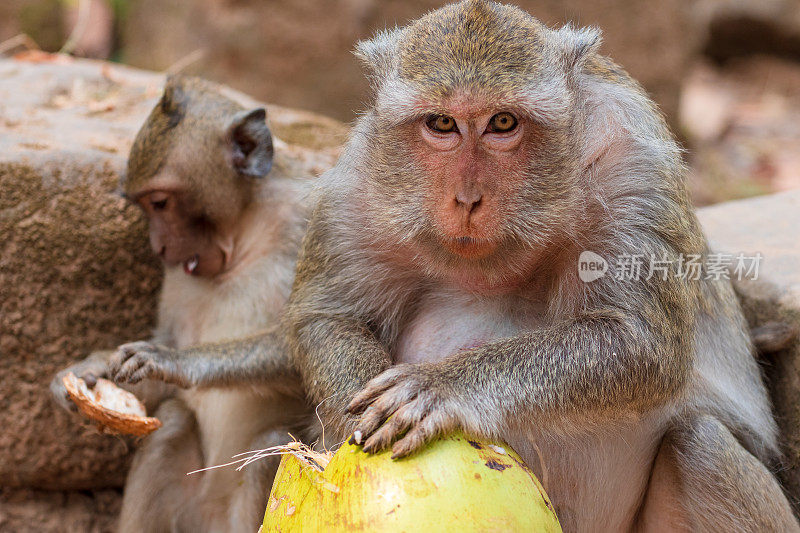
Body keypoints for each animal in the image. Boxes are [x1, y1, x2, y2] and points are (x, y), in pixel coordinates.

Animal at [50, 75, 310, 532]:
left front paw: (175, 361)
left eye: (160, 202)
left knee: (276, 445)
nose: (159, 246)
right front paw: (90, 372)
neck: (244, 232)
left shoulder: (311, 217)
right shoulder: (177, 274)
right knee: (171, 422)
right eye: (144, 206)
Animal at [103, 4, 796, 532]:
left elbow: (641, 343)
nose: (467, 198)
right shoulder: (358, 183)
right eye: (442, 124)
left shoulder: (633, 164)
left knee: (703, 446)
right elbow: (327, 316)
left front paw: (440, 388)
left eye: (503, 123)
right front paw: (347, 435)